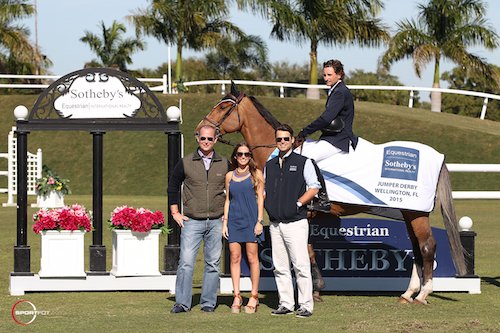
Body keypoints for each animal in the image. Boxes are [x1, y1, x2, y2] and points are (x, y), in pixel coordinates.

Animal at [196, 81, 468, 302]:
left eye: (223, 107)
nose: (201, 131)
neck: (280, 153)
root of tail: (437, 156)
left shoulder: (298, 213)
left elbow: (303, 249)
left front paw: (312, 288)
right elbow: (308, 248)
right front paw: (316, 287)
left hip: (416, 213)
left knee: (427, 246)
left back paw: (422, 294)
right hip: (410, 212)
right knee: (417, 249)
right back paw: (409, 293)